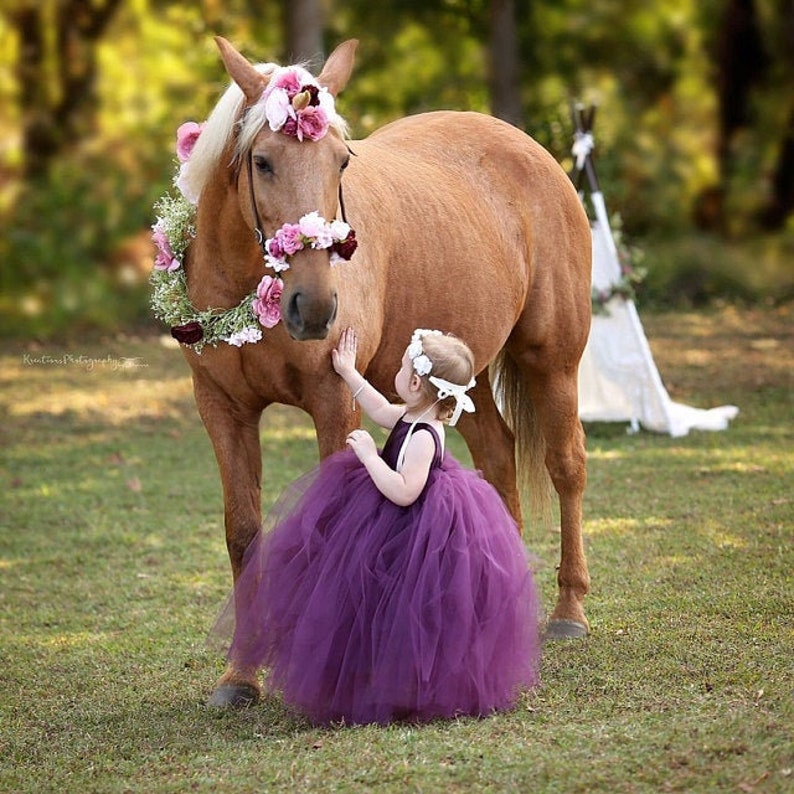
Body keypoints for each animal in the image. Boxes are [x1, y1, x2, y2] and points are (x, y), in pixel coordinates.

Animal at [176, 37, 592, 704]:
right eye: (262, 162)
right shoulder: (222, 408)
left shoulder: (333, 402)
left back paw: (568, 612)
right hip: (462, 374)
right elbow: (243, 534)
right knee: (498, 456)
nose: (316, 306)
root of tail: (527, 147)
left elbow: (328, 527)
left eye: (341, 162)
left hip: (550, 359)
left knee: (566, 465)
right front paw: (240, 674)